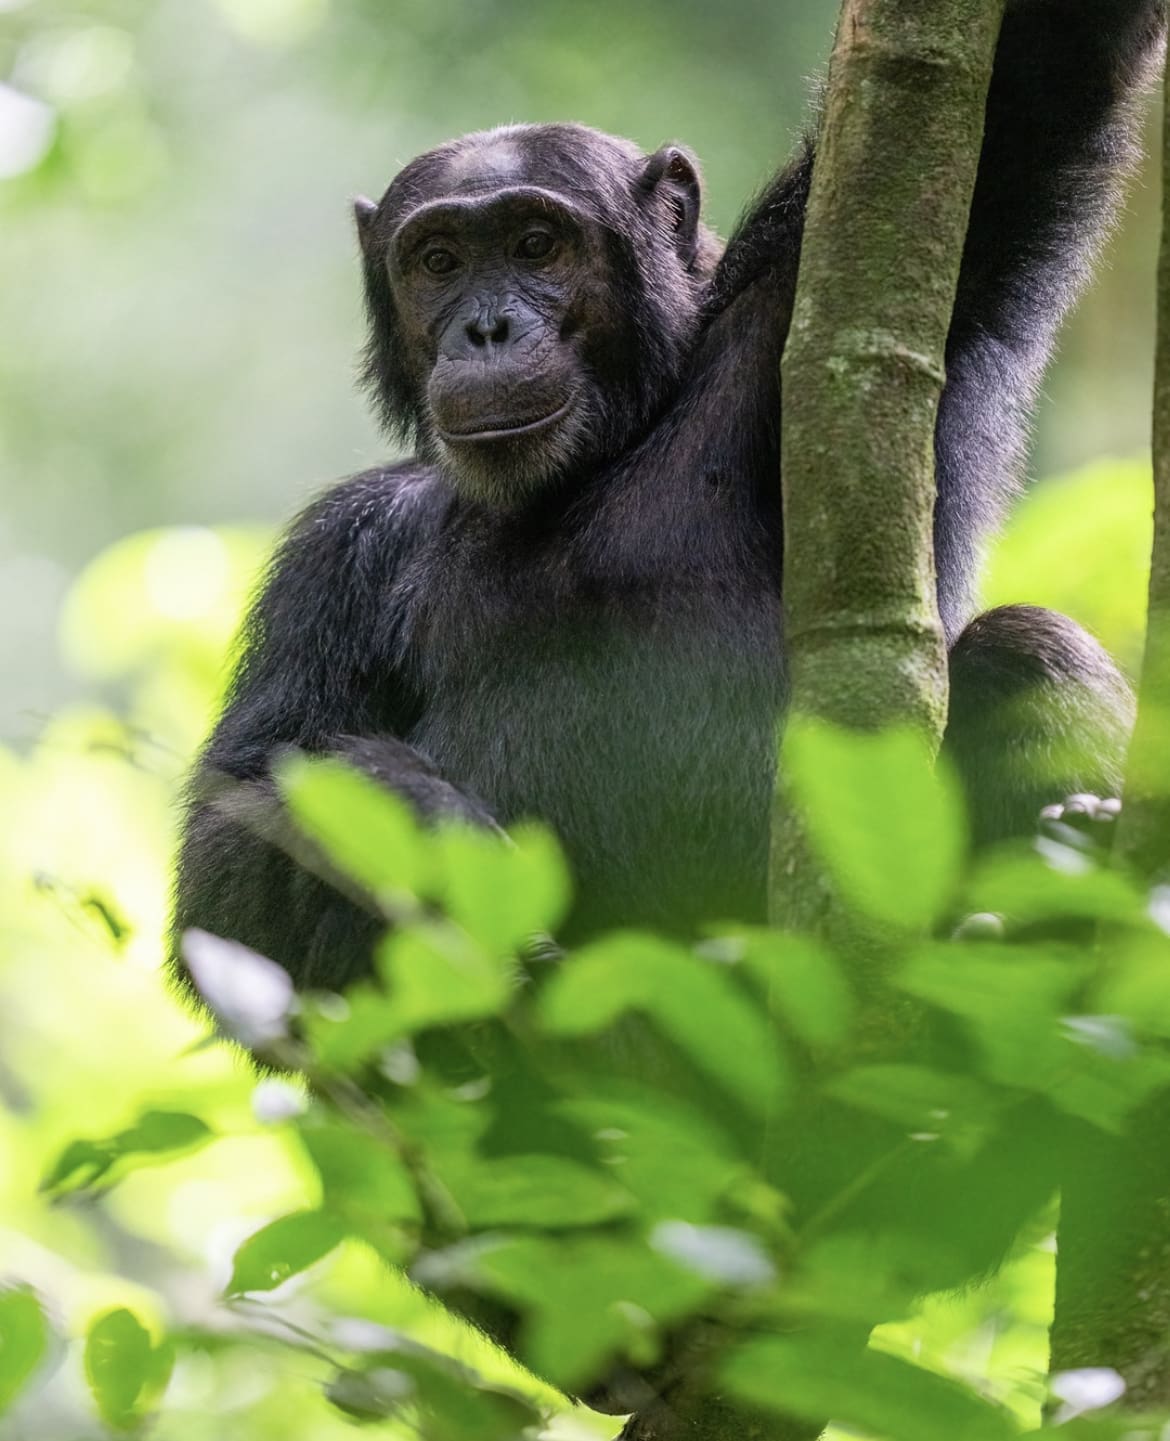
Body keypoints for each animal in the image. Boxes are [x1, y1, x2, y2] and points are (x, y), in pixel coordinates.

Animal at [175, 0, 1158, 991]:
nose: (486, 328)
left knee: (1032, 646)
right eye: (439, 261)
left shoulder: (797, 310)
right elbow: (231, 838)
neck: (593, 458)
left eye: (537, 245)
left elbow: (1033, 87)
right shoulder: (338, 552)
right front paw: (411, 815)